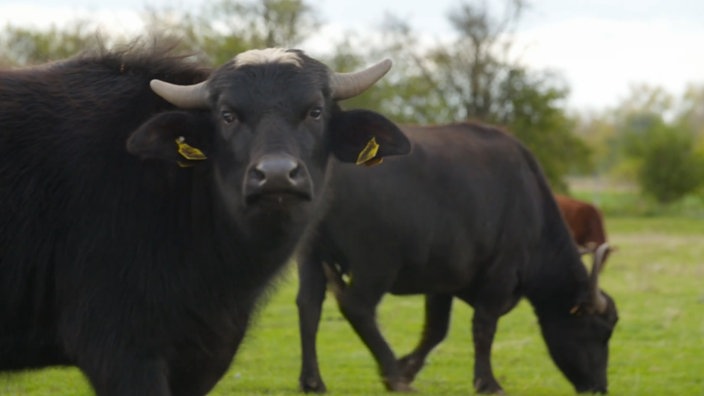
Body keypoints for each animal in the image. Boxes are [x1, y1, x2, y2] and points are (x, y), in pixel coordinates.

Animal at [294, 122, 620, 394]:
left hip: (310, 254)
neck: (531, 208)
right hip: (376, 264)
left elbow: (435, 331)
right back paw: (393, 375)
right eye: (599, 331)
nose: (599, 387)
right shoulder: (500, 277)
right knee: (357, 307)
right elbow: (484, 328)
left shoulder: (442, 283)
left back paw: (313, 381)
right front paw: (487, 382)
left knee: (309, 306)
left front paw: (408, 367)